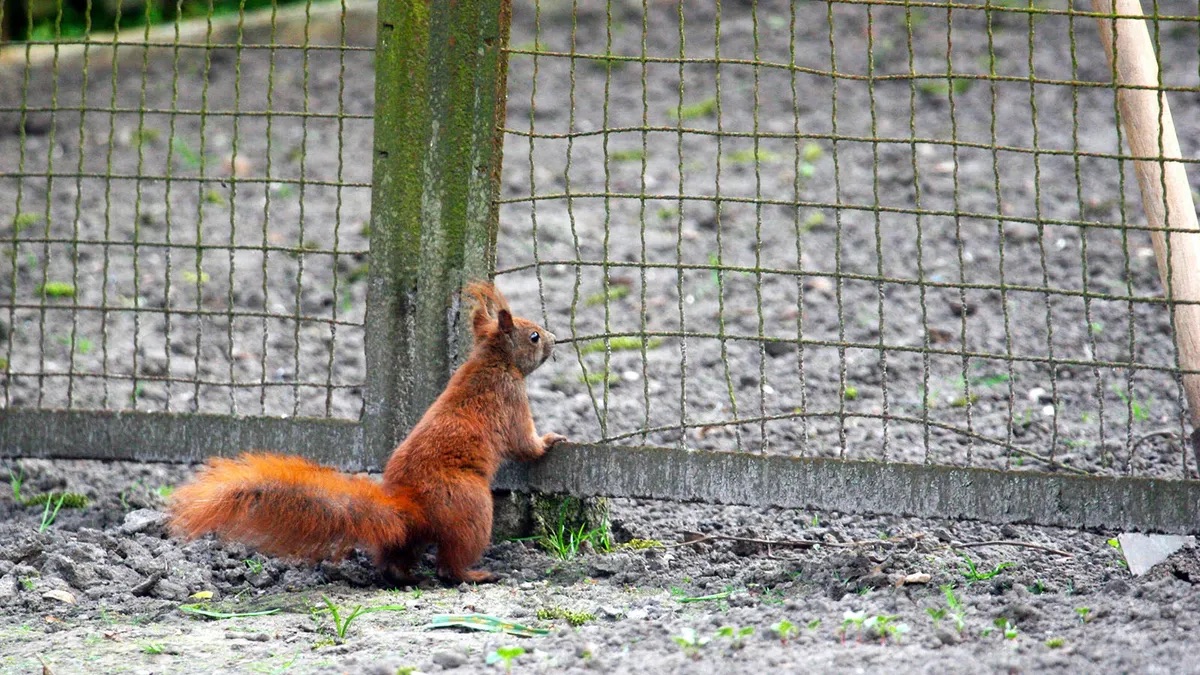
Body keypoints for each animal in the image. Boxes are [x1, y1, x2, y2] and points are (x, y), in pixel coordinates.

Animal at [168, 281, 566, 584]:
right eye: (533, 336)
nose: (555, 338)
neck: (492, 362)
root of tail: (409, 506)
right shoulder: (511, 400)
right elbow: (524, 444)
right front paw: (551, 440)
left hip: (413, 536)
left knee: (397, 559)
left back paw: (407, 577)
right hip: (472, 509)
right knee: (450, 565)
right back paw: (474, 574)